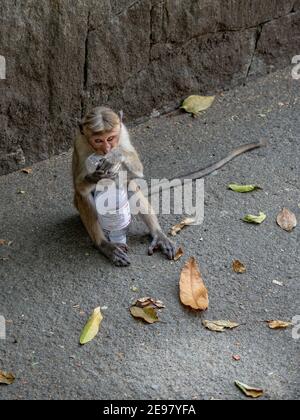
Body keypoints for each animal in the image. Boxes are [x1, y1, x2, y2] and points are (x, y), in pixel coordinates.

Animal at [73, 106, 176, 268]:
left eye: (110, 138)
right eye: (98, 140)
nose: (107, 149)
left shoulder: (124, 134)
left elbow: (137, 170)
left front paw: (115, 155)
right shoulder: (79, 145)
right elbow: (79, 187)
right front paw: (95, 177)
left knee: (129, 185)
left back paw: (158, 234)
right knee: (83, 196)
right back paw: (104, 245)